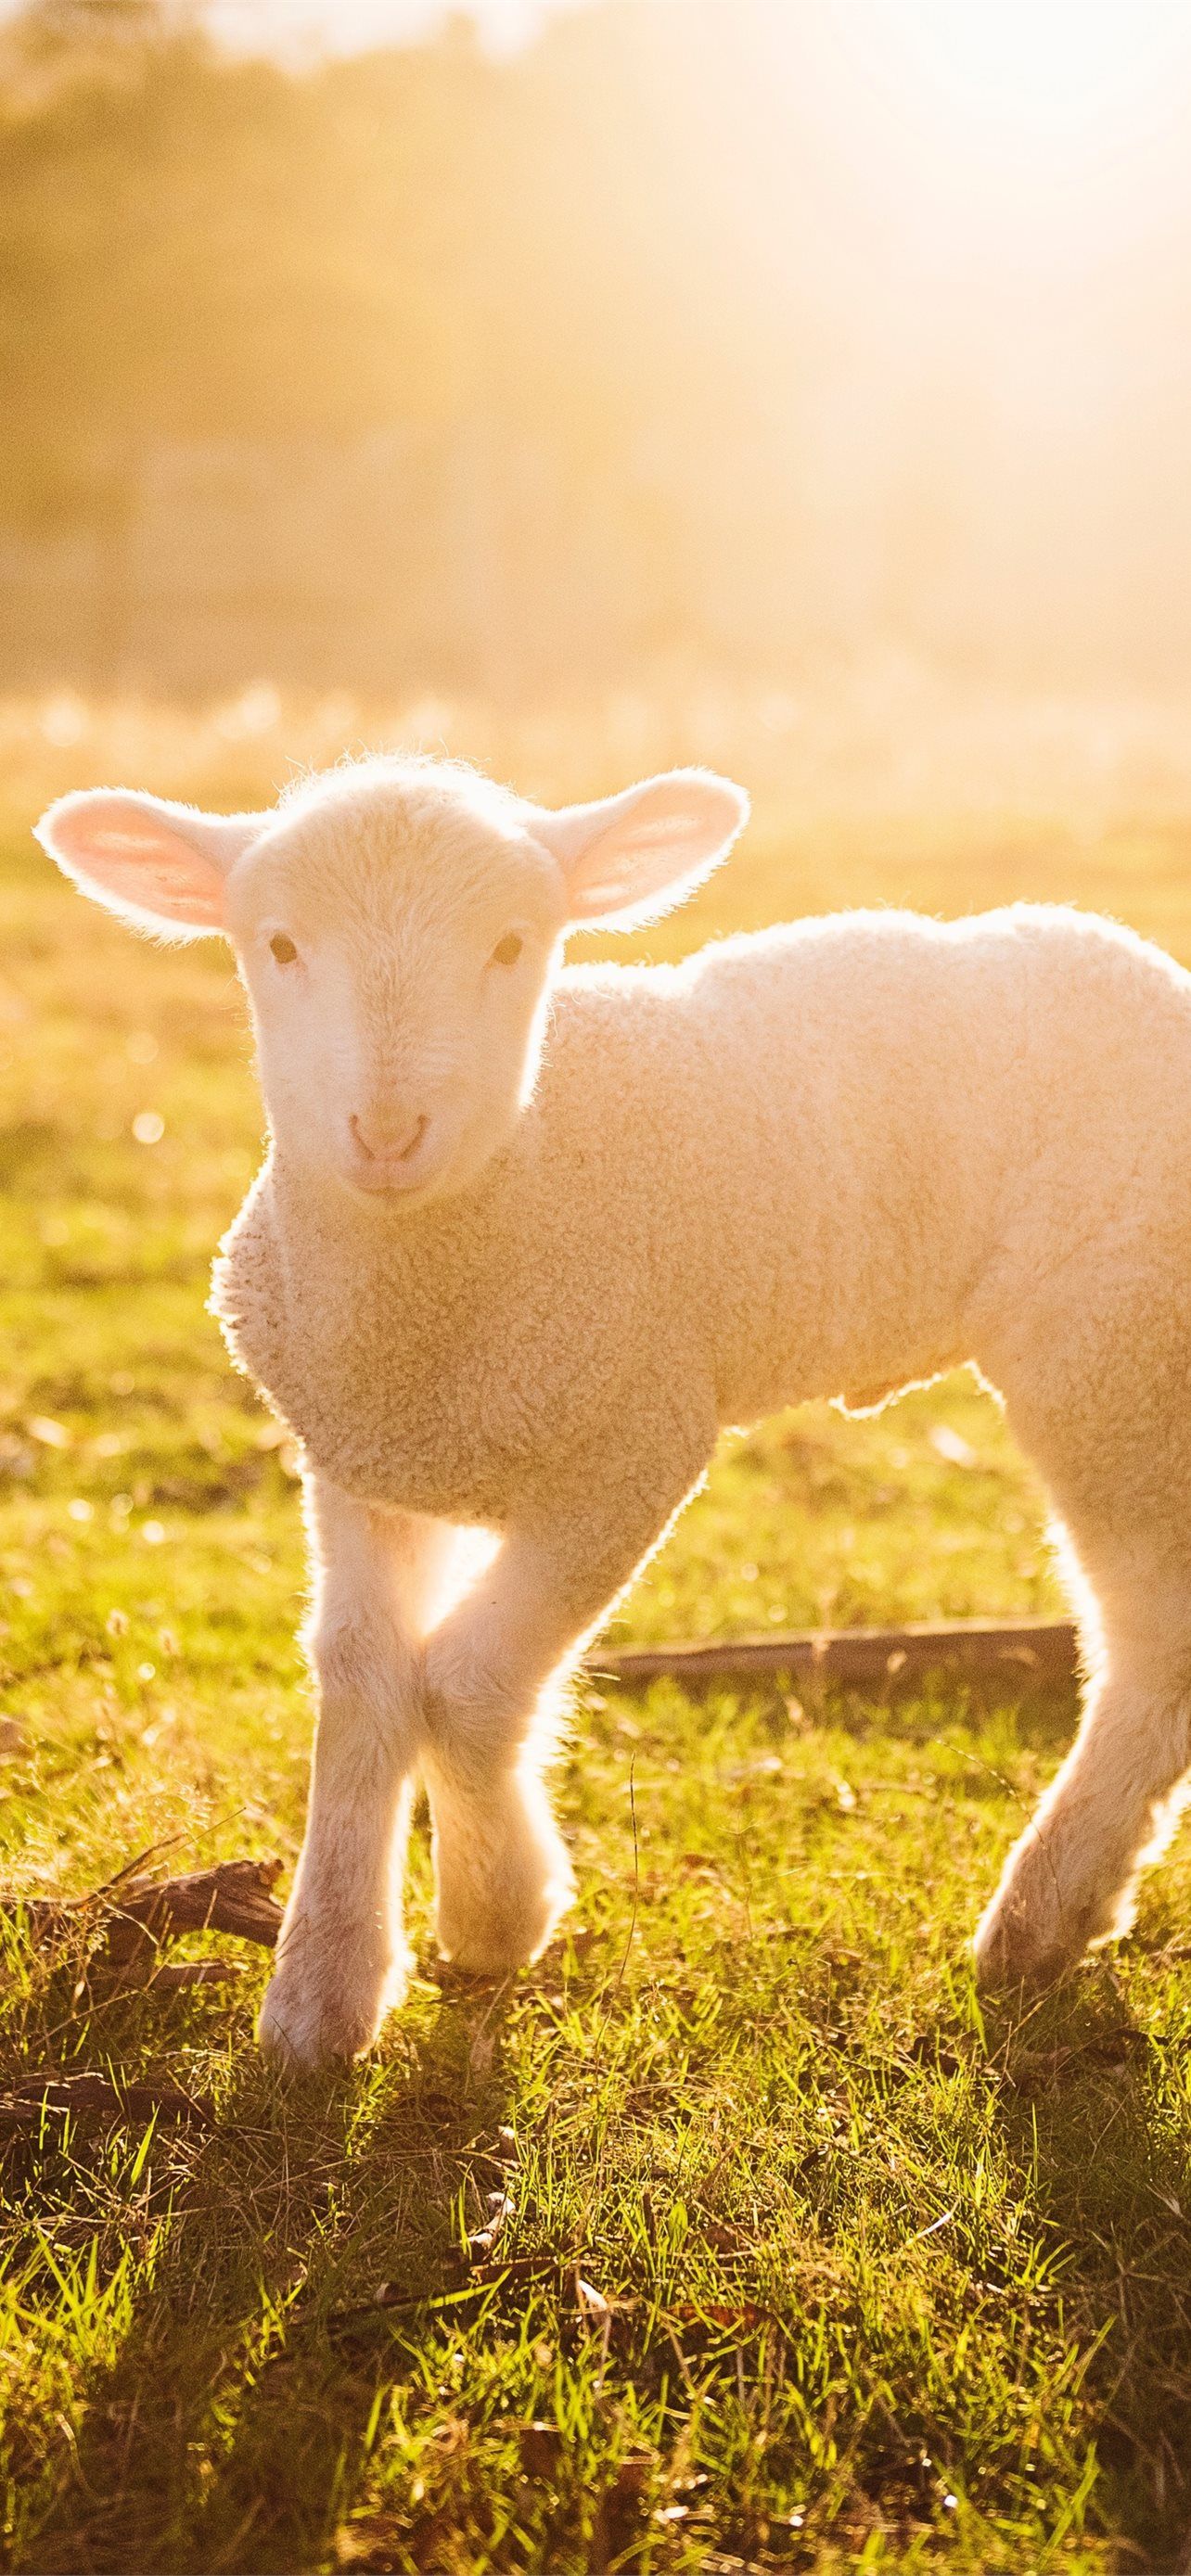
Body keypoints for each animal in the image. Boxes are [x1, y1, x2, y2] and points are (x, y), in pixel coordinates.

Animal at [35, 754, 1191, 2068]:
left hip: (1110, 1352)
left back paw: (1044, 1915)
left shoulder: (631, 1445)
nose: (386, 1132)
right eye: (276, 944)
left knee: (1152, 1644)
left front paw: (495, 1914)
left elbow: (465, 1681)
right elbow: (362, 1675)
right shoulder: (358, 1453)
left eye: (511, 943)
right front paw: (323, 1994)